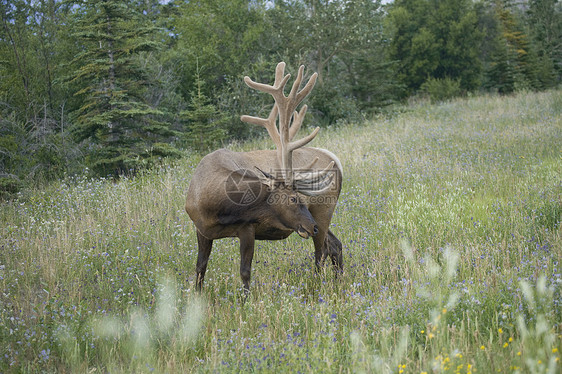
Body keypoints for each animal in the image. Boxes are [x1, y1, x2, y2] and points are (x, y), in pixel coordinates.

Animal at [185, 62, 342, 296]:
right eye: (294, 199)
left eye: (301, 199)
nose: (311, 226)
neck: (214, 208)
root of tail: (335, 160)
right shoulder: (201, 229)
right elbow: (200, 268)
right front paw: (197, 296)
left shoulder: (247, 228)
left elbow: (245, 272)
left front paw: (245, 301)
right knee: (335, 245)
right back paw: (339, 282)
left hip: (323, 211)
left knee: (321, 251)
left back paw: (318, 285)